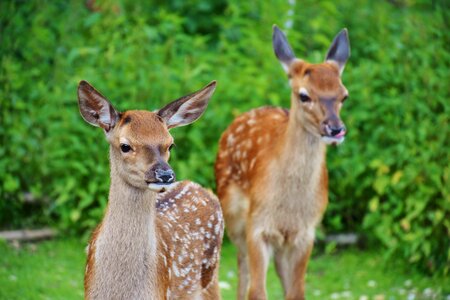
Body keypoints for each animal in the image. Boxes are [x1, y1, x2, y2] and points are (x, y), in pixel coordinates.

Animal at [214, 26, 352, 300]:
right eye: (304, 95)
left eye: (344, 95)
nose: (335, 129)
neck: (289, 207)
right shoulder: (258, 225)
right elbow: (256, 290)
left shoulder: (306, 232)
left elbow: (297, 291)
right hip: (233, 215)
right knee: (242, 268)